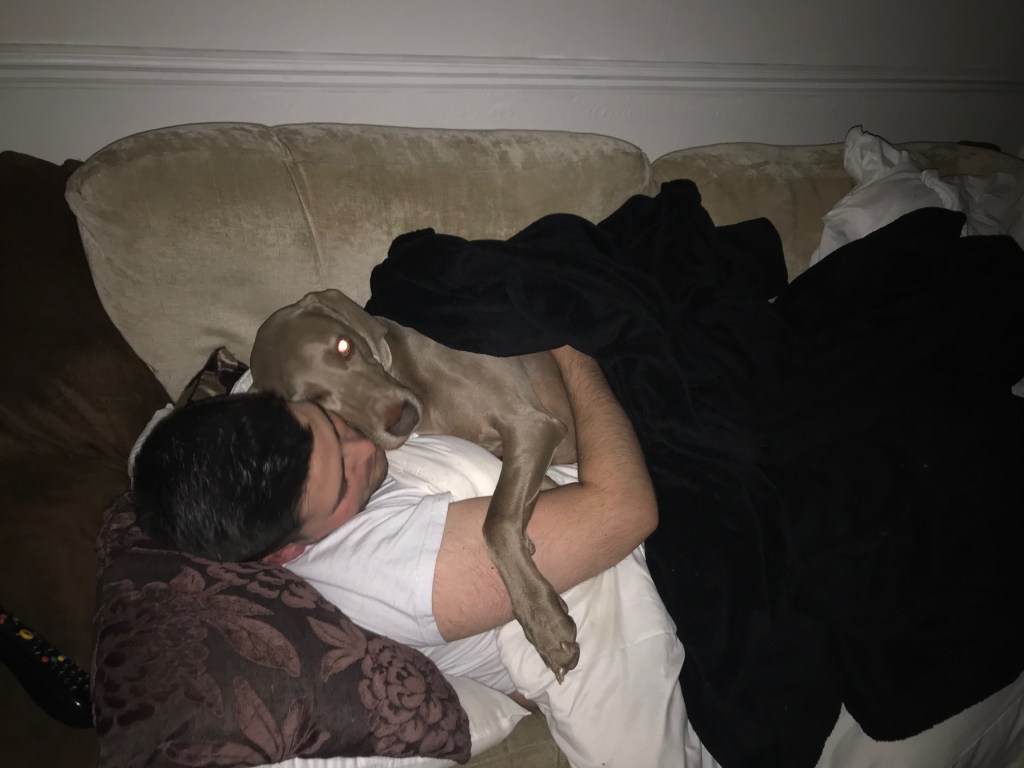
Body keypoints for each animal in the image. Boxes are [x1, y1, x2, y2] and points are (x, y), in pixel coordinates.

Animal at [250, 290, 581, 684]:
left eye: (344, 346)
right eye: (314, 401)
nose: (403, 419)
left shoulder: (531, 424)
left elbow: (496, 521)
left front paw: (545, 624)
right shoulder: (526, 441)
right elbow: (505, 512)